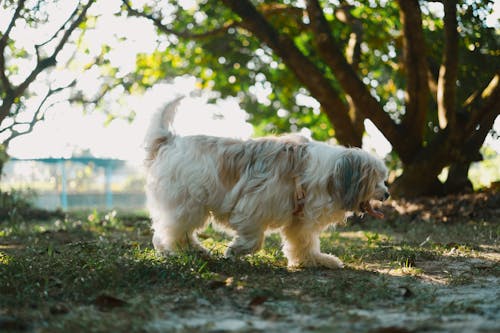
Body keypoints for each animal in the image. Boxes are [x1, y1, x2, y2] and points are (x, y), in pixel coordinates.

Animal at [145, 98, 390, 268]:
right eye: (376, 181)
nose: (387, 194)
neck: (328, 174)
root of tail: (170, 141)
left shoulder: (299, 220)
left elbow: (303, 242)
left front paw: (315, 260)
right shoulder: (254, 205)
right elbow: (254, 238)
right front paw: (236, 250)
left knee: (168, 232)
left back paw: (188, 251)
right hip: (187, 203)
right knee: (173, 232)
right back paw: (188, 251)